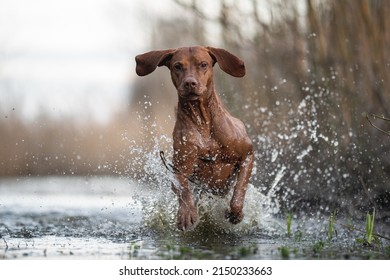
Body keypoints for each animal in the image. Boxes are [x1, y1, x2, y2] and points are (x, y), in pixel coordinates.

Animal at [136, 45, 254, 230]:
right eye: (177, 66)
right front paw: (186, 213)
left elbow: (240, 188)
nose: (190, 83)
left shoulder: (247, 154)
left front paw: (235, 213)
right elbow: (183, 189)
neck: (202, 120)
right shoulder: (179, 166)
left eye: (203, 64)